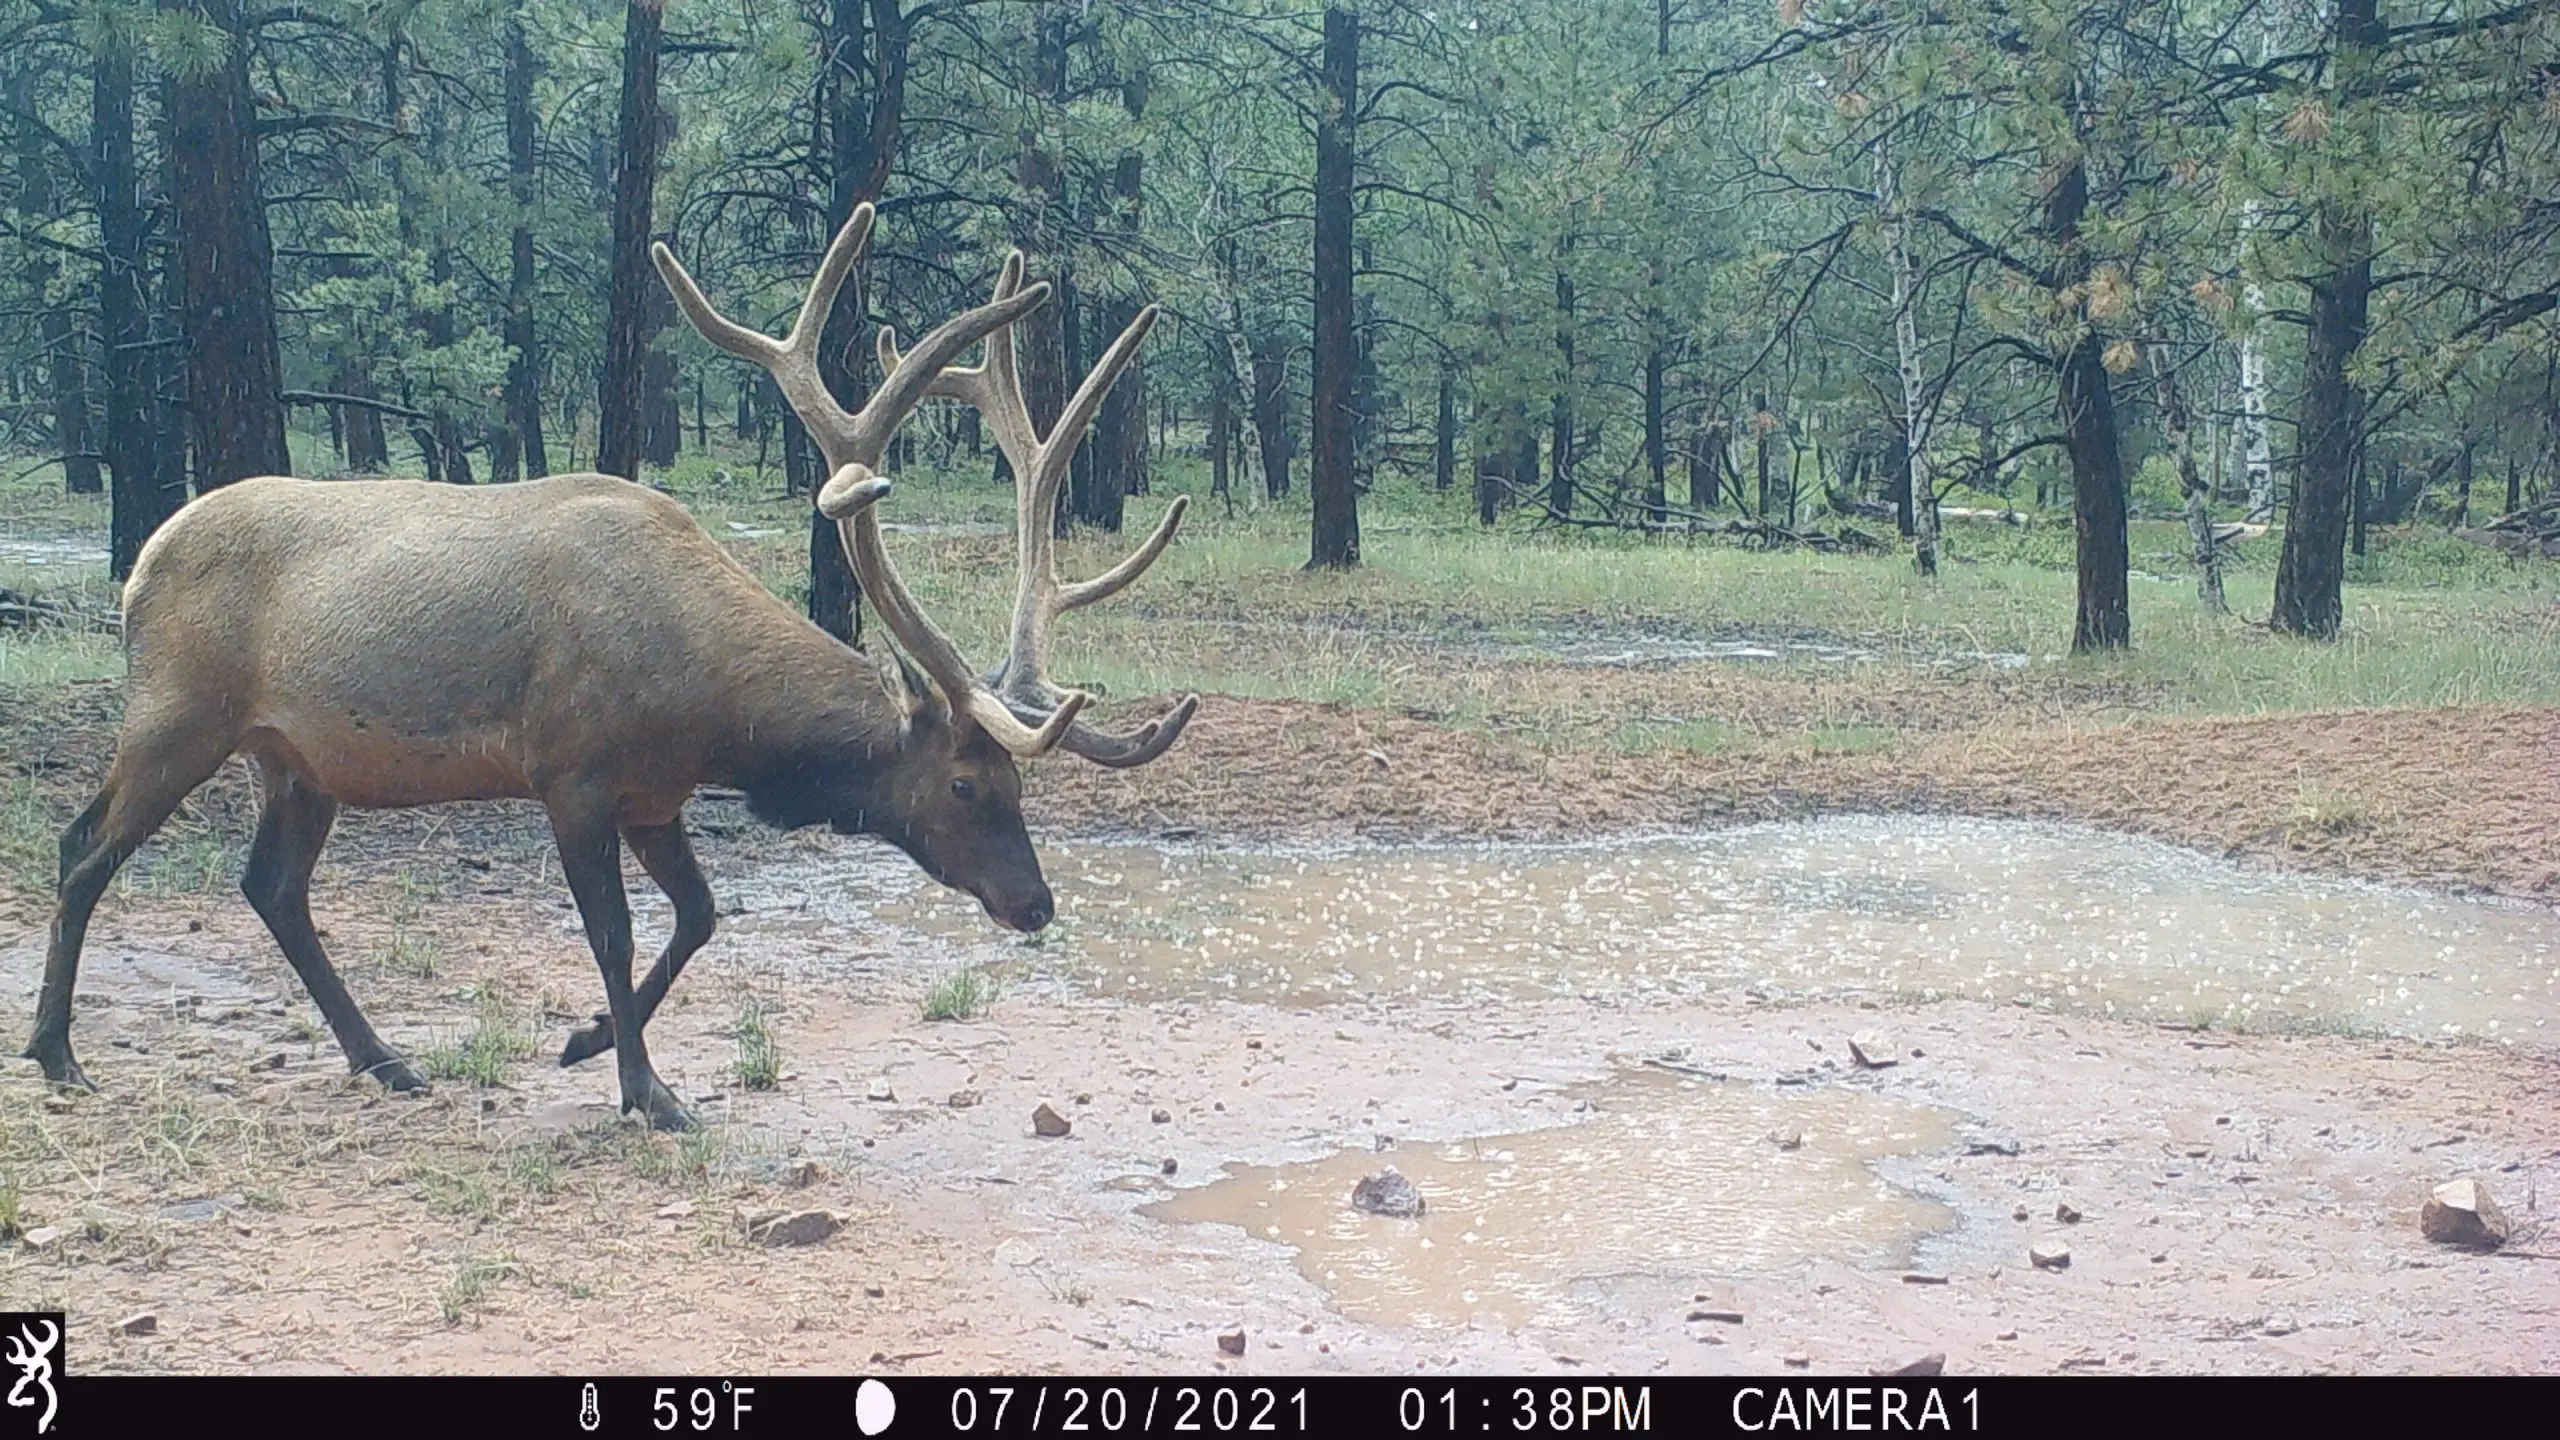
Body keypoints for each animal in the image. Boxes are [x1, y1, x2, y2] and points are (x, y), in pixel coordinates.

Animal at [24, 202, 1197, 1131]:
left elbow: (700, 917)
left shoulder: (653, 794)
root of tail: (138, 567)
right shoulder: (571, 773)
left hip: (298, 760)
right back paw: (58, 1053)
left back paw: (383, 1058)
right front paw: (645, 1090)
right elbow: (615, 931)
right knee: (84, 848)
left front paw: (588, 1041)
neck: (712, 715)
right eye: (964, 783)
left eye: (1016, 785)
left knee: (270, 885)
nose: (1035, 904)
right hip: (178, 710)